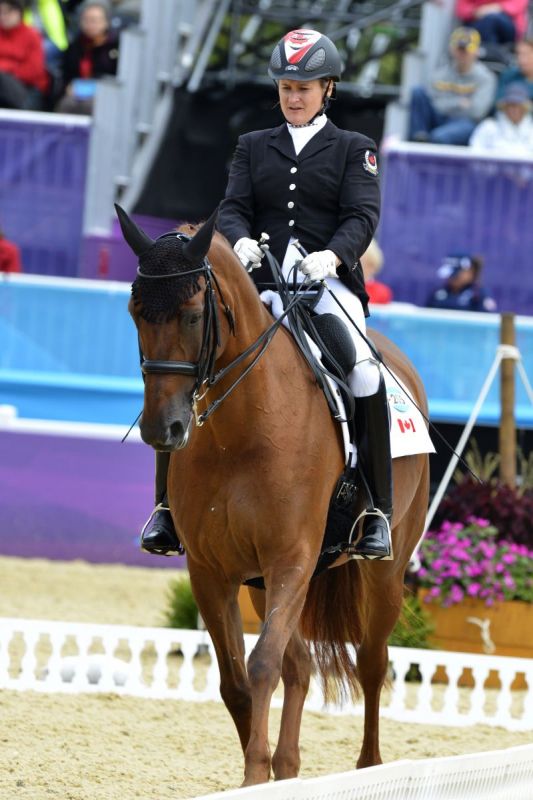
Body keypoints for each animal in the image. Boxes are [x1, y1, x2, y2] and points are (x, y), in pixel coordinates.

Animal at [116, 205, 430, 787]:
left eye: (192, 315)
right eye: (135, 312)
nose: (162, 430)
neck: (241, 430)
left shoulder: (292, 559)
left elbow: (261, 666)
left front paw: (253, 773)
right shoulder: (212, 570)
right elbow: (235, 680)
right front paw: (257, 773)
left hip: (383, 571)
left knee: (371, 661)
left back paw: (368, 767)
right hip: (260, 581)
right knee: (301, 664)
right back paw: (288, 769)